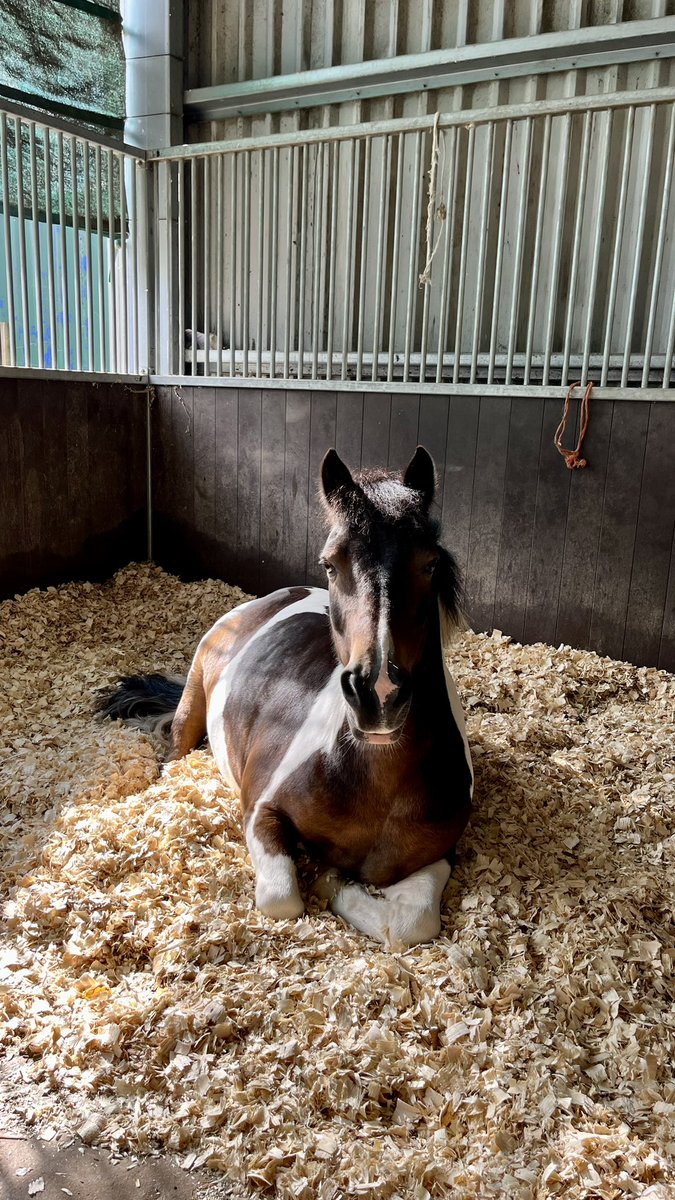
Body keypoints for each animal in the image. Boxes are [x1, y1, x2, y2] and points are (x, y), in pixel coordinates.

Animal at [97, 446, 470, 950]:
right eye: (331, 563)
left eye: (430, 564)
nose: (379, 694)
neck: (371, 778)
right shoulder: (260, 812)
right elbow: (282, 898)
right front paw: (328, 877)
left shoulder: (438, 854)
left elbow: (412, 925)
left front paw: (335, 880)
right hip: (193, 701)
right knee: (173, 754)